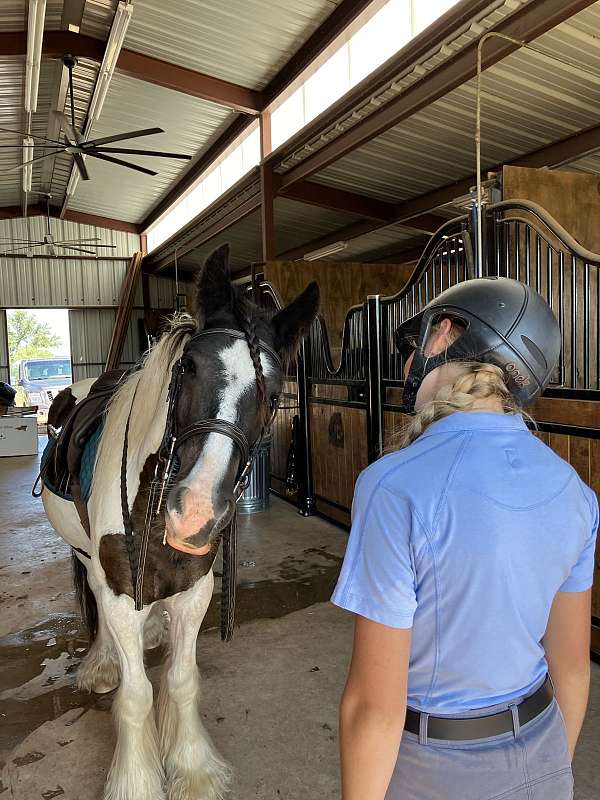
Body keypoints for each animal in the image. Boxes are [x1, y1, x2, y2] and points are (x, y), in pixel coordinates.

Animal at [39, 245, 322, 800]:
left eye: (273, 393)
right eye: (188, 367)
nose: (194, 514)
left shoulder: (194, 591)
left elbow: (182, 680)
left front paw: (194, 771)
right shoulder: (120, 591)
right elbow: (136, 694)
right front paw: (137, 781)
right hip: (86, 555)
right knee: (96, 600)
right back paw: (102, 662)